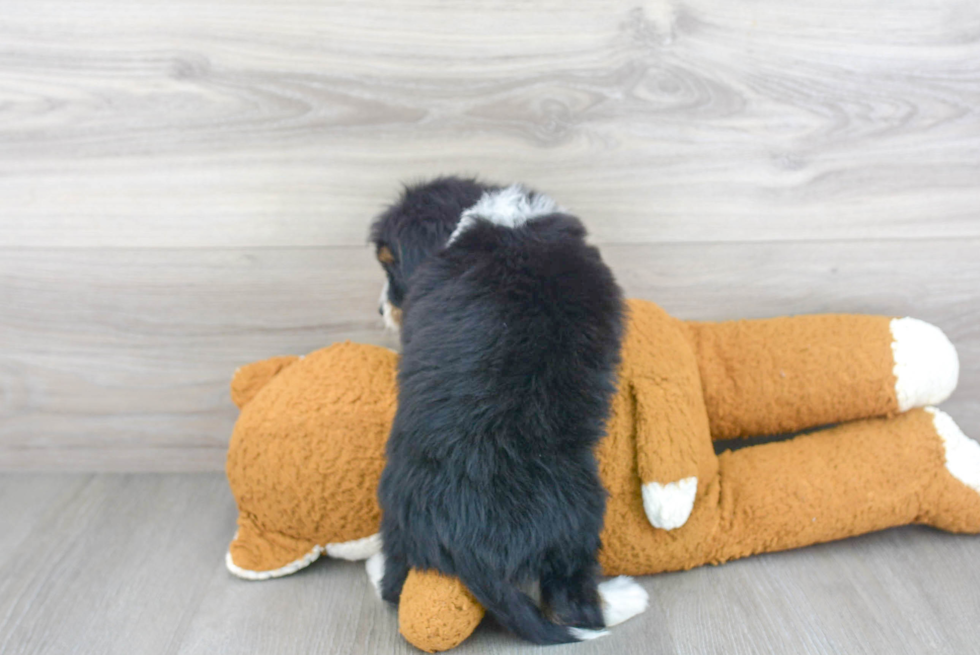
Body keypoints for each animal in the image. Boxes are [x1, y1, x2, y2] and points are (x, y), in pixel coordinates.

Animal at [368, 177, 636, 644]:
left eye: (391, 265)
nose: (381, 309)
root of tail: (469, 547)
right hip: (581, 519)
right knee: (575, 604)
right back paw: (623, 598)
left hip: (398, 520)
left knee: (394, 585)